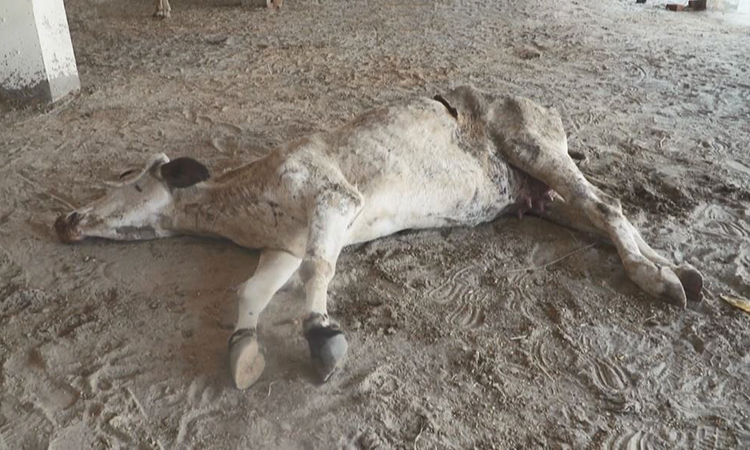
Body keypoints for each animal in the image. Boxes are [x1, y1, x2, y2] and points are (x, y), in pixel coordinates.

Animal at [54, 85, 704, 390]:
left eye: (133, 181)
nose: (66, 220)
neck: (244, 202)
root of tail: (542, 106)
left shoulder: (336, 200)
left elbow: (318, 272)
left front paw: (322, 335)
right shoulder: (282, 246)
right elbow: (251, 292)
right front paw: (242, 348)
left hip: (537, 147)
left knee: (607, 203)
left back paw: (658, 279)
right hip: (534, 195)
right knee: (599, 215)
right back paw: (678, 273)